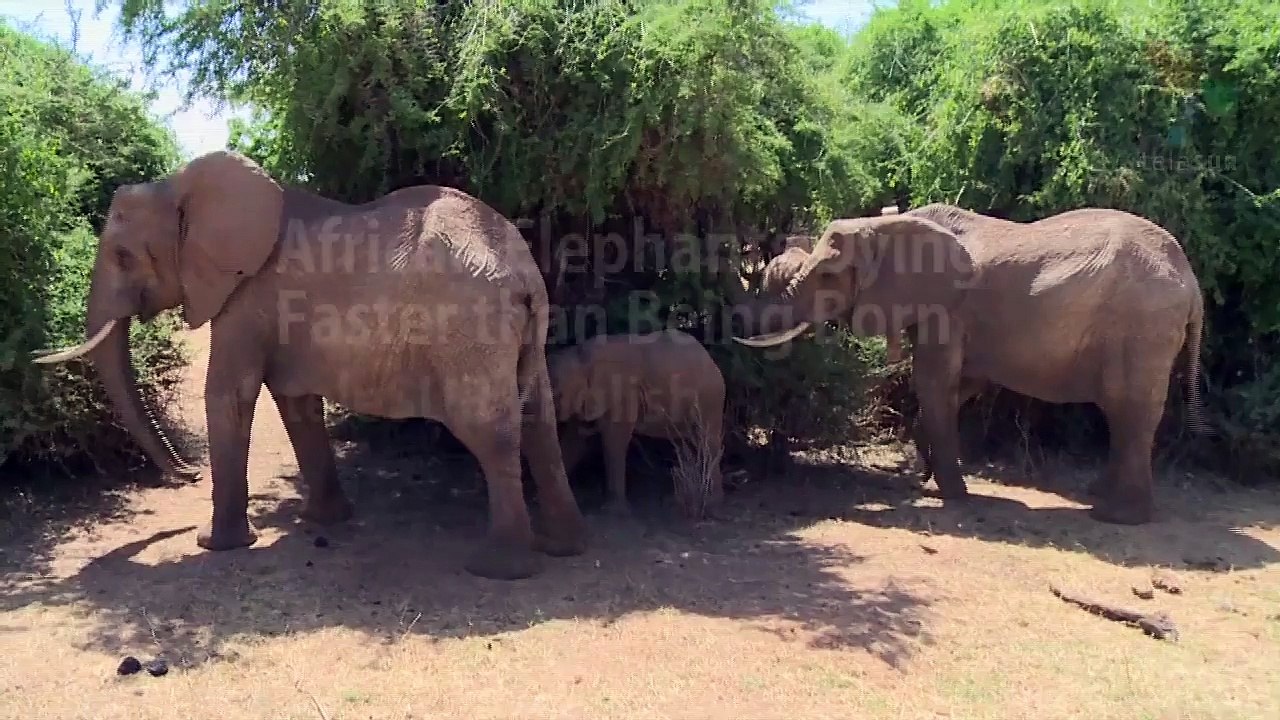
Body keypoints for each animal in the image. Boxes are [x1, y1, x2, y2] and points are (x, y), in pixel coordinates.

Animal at [31, 149, 587, 580]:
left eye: (123, 257)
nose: (186, 473)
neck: (181, 186)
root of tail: (523, 271)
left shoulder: (247, 297)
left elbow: (229, 395)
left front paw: (216, 545)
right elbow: (296, 405)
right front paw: (325, 521)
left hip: (468, 325)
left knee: (491, 431)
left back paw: (498, 569)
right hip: (518, 332)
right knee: (540, 419)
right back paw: (564, 547)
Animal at [547, 329, 726, 519]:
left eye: (557, 394)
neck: (581, 355)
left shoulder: (623, 392)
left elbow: (614, 441)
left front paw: (613, 512)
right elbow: (575, 443)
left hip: (710, 395)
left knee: (707, 439)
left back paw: (713, 505)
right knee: (684, 443)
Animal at [891, 203, 1213, 525]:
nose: (918, 478)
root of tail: (1192, 284)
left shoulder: (946, 311)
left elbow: (937, 380)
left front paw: (937, 485)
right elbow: (962, 381)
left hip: (1142, 325)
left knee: (1129, 407)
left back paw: (1114, 515)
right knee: (1121, 410)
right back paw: (1098, 493)